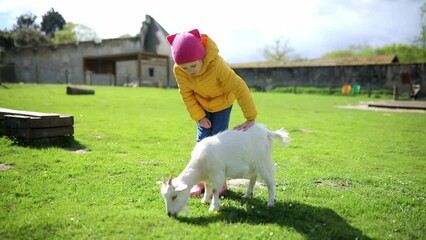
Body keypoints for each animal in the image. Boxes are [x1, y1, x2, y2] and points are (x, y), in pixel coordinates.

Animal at [160, 123, 290, 217]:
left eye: (174, 196)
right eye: (165, 197)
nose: (169, 214)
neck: (201, 164)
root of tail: (267, 132)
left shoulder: (218, 173)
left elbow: (215, 190)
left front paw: (213, 207)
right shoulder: (208, 176)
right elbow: (207, 186)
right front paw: (205, 200)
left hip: (263, 161)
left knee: (270, 182)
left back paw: (270, 203)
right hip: (254, 163)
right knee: (253, 177)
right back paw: (247, 195)